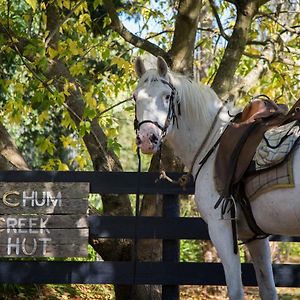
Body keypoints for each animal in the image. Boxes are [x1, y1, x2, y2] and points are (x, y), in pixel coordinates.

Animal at [134, 55, 300, 298]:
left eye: (166, 96)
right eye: (135, 97)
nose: (147, 138)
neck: (213, 142)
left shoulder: (220, 228)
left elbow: (236, 290)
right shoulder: (255, 238)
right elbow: (268, 289)